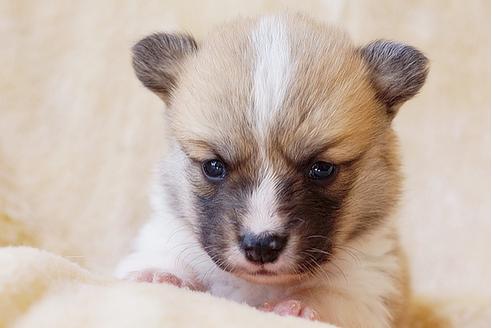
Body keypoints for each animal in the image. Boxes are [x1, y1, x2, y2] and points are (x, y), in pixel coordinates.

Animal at [115, 13, 426, 328]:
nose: (261, 246)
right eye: (213, 166)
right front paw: (161, 276)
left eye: (322, 169)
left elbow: (330, 297)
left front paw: (298, 306)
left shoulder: (368, 289)